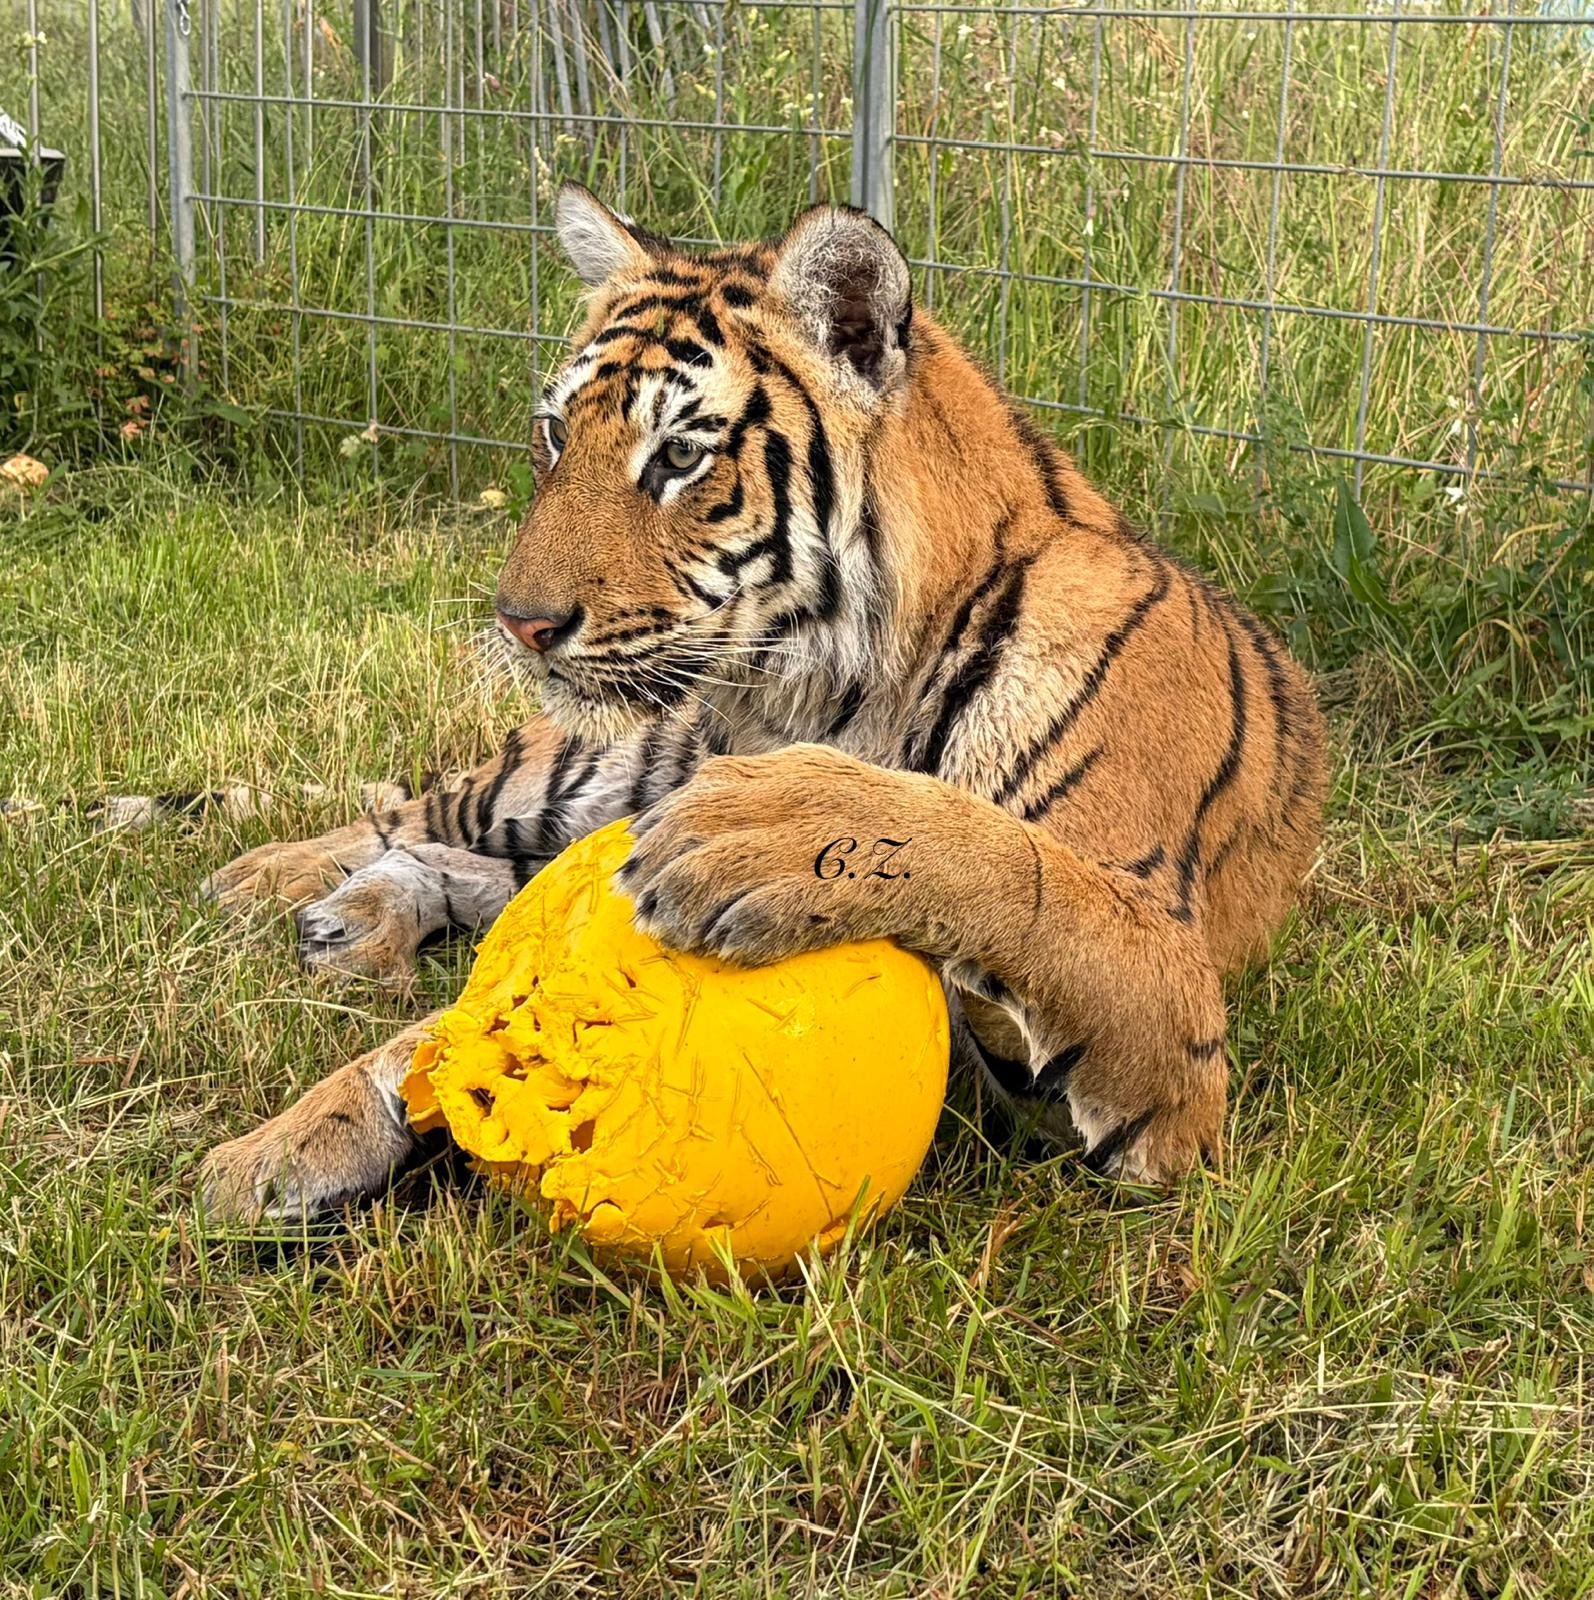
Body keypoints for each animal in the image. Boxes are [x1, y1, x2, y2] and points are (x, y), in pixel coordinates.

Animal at [199, 184, 1326, 1222]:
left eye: (679, 454)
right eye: (556, 434)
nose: (519, 622)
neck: (835, 689)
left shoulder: (1167, 1028)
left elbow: (1016, 861)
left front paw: (778, 830)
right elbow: (442, 1027)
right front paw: (287, 1141)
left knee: (482, 869)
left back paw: (351, 917)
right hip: (589, 765)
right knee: (420, 813)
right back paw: (267, 881)